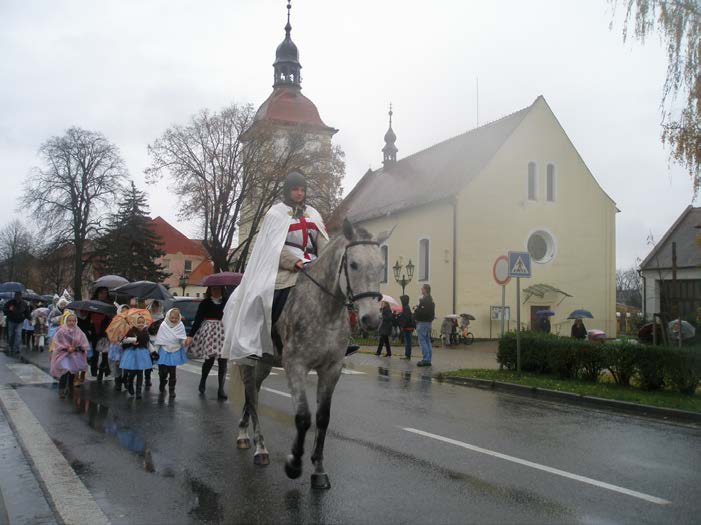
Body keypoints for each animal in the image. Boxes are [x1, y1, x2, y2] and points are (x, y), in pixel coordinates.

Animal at [238, 218, 386, 488]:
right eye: (353, 264)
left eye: (381, 266)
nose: (371, 319)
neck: (325, 310)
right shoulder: (295, 366)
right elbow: (304, 417)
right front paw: (294, 464)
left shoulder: (331, 369)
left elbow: (323, 418)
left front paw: (318, 470)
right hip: (247, 361)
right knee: (252, 397)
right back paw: (260, 448)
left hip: (265, 363)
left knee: (251, 393)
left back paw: (244, 434)